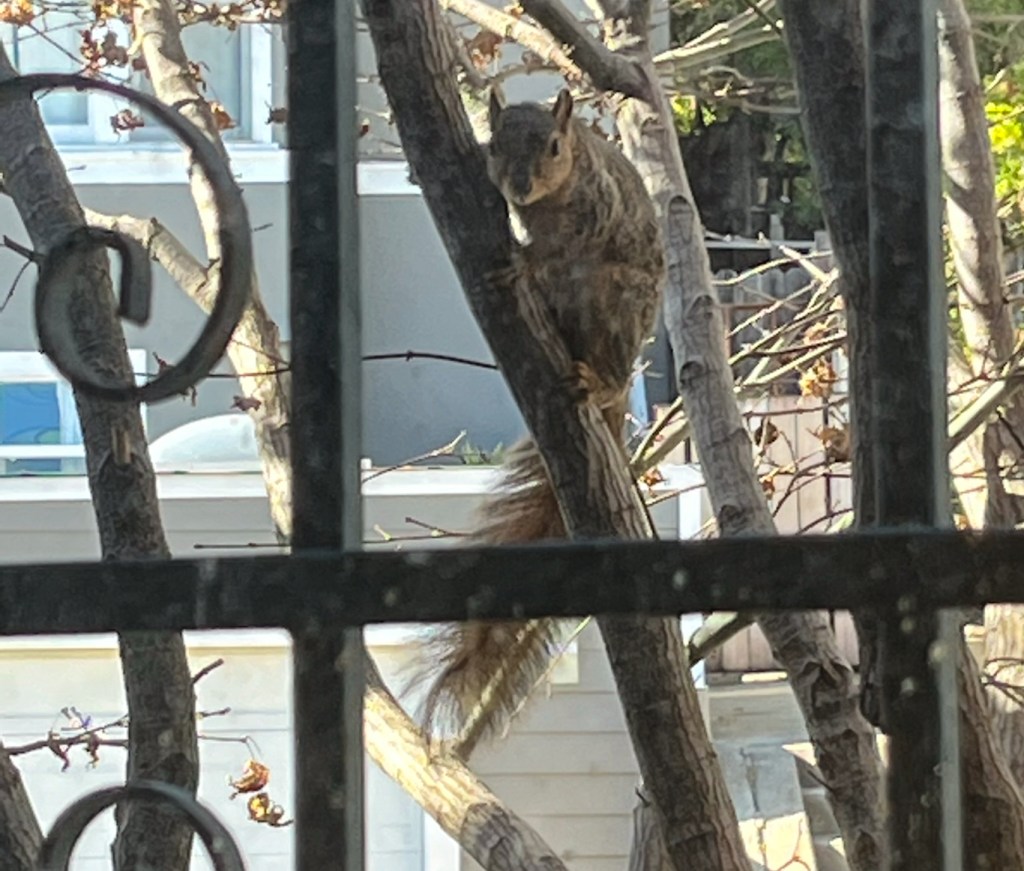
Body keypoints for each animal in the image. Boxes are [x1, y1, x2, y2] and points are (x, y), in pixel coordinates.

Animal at [416, 89, 666, 748]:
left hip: (615, 301)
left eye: (554, 146)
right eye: (494, 142)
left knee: (606, 361)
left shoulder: (594, 212)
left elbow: (559, 247)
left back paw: (596, 380)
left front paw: (525, 261)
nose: (520, 186)